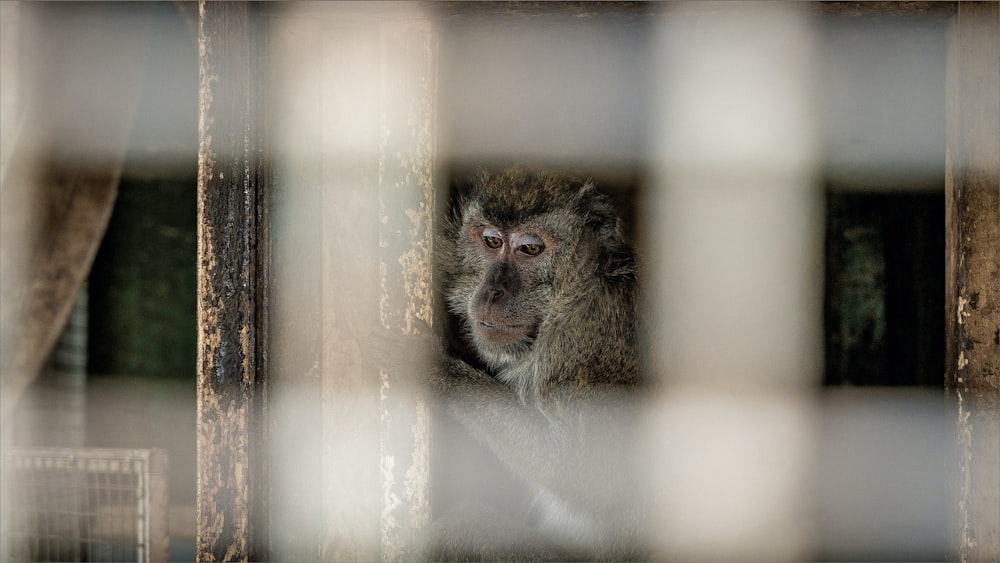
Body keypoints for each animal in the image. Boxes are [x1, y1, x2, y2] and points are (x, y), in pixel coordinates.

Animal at [424, 165, 648, 560]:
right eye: (491, 241)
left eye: (531, 248)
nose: (491, 294)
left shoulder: (594, 340)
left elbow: (600, 478)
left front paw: (441, 372)